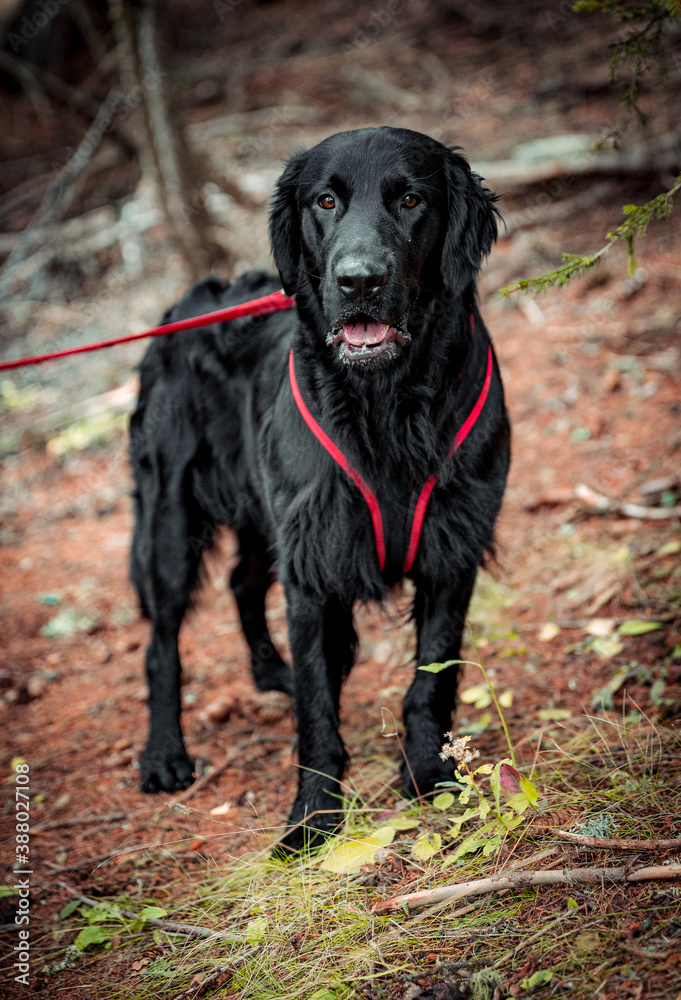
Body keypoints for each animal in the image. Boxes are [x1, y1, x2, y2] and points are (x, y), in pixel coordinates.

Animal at [129, 127, 510, 852]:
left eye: (411, 199)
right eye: (326, 201)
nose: (358, 280)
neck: (387, 401)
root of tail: (186, 304)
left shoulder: (452, 548)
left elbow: (432, 680)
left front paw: (429, 775)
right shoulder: (312, 566)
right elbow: (316, 709)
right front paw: (312, 818)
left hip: (261, 511)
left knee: (242, 582)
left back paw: (267, 671)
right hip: (170, 518)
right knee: (162, 644)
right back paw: (164, 753)